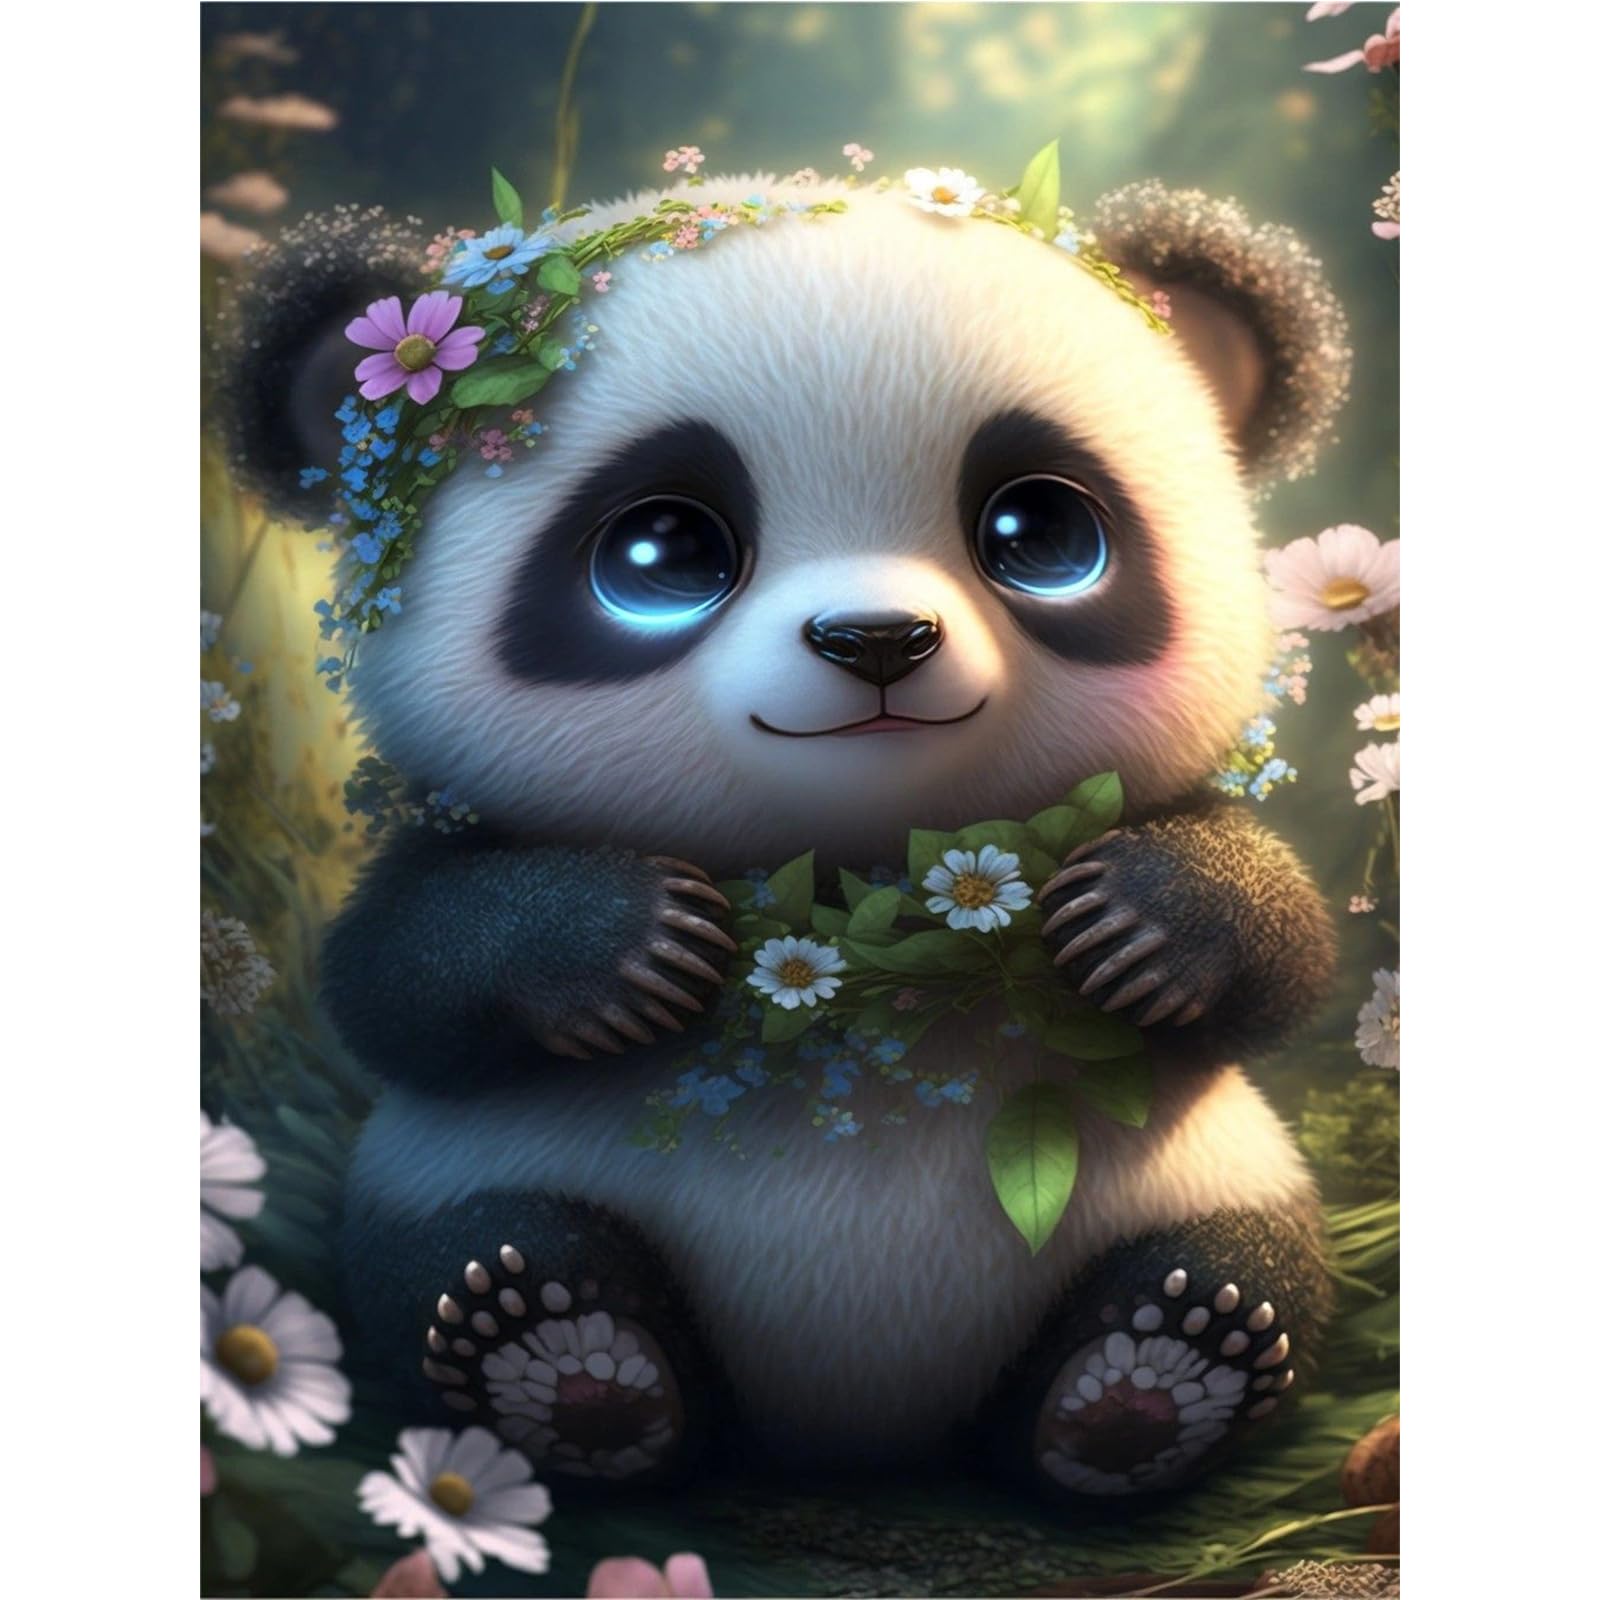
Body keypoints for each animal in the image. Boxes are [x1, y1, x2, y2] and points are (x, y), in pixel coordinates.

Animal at [219, 171, 1350, 1501]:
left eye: (1039, 533)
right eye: (660, 550)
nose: (877, 639)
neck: (855, 887)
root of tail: (852, 1434)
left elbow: (1285, 952)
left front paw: (1140, 921)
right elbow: (392, 978)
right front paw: (630, 943)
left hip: (1199, 1169)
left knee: (1244, 1262)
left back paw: (1153, 1374)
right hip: (440, 1177)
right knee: (448, 1258)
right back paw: (559, 1348)